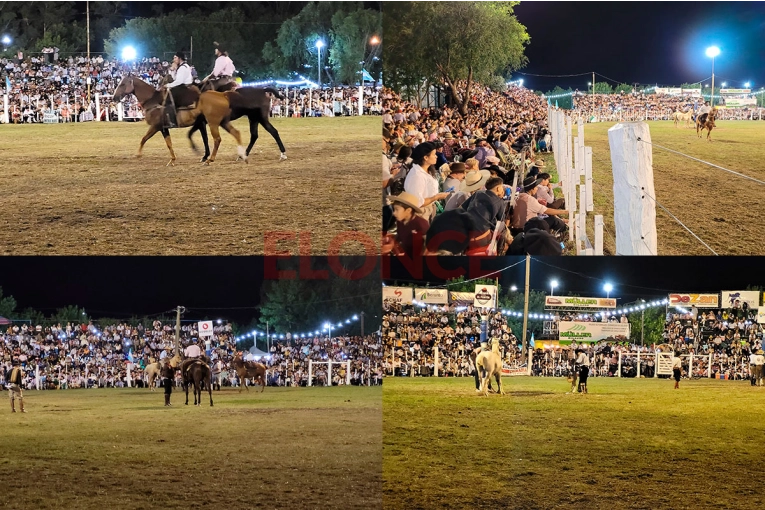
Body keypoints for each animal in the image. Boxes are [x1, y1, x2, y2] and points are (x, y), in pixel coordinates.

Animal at [112, 75, 248, 165]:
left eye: (122, 84)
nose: (114, 97)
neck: (153, 101)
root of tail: (223, 95)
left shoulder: (156, 127)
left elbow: (144, 138)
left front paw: (138, 154)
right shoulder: (164, 128)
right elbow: (169, 143)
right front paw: (172, 159)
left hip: (213, 123)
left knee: (217, 139)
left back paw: (211, 159)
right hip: (222, 122)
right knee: (235, 133)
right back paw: (242, 156)